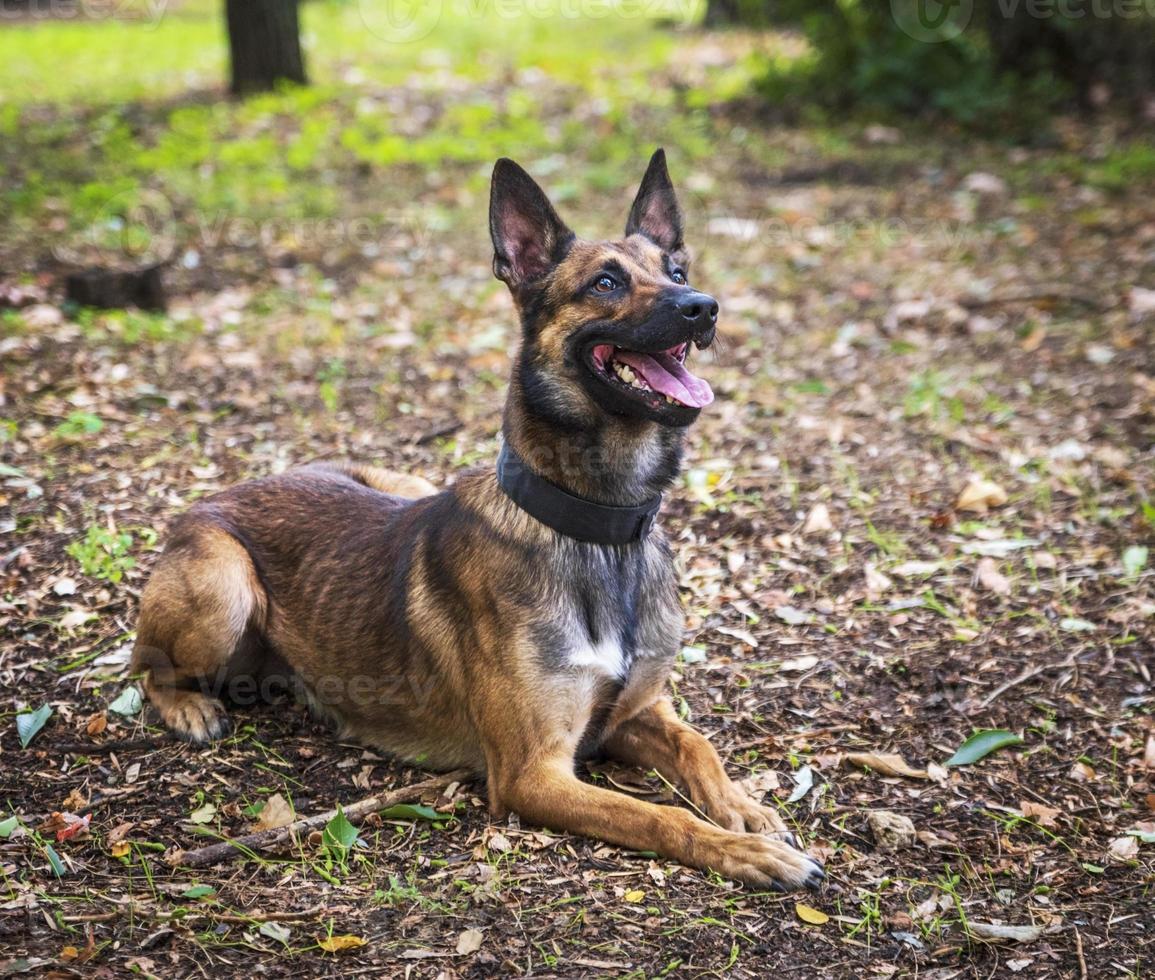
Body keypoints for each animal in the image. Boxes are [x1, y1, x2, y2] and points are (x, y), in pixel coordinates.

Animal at [132, 149, 822, 892]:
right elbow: (656, 816)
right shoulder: (533, 773)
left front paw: (747, 811)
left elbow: (699, 747)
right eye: (605, 282)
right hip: (222, 585)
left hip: (399, 482)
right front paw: (747, 852)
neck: (599, 531)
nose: (702, 308)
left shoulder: (634, 712)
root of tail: (217, 495)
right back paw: (190, 708)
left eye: (677, 273)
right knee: (145, 668)